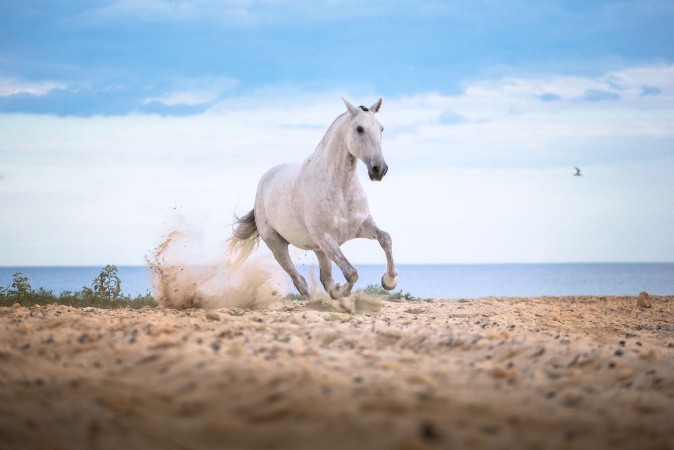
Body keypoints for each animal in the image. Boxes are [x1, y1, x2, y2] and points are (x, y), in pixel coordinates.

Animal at [227, 99, 394, 302]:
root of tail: (264, 181)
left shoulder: (361, 226)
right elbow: (351, 273)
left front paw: (389, 281)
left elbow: (385, 239)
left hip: (319, 249)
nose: (379, 170)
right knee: (299, 280)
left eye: (381, 128)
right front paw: (342, 292)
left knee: (325, 279)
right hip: (278, 245)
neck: (341, 190)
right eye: (359, 129)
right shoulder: (326, 238)